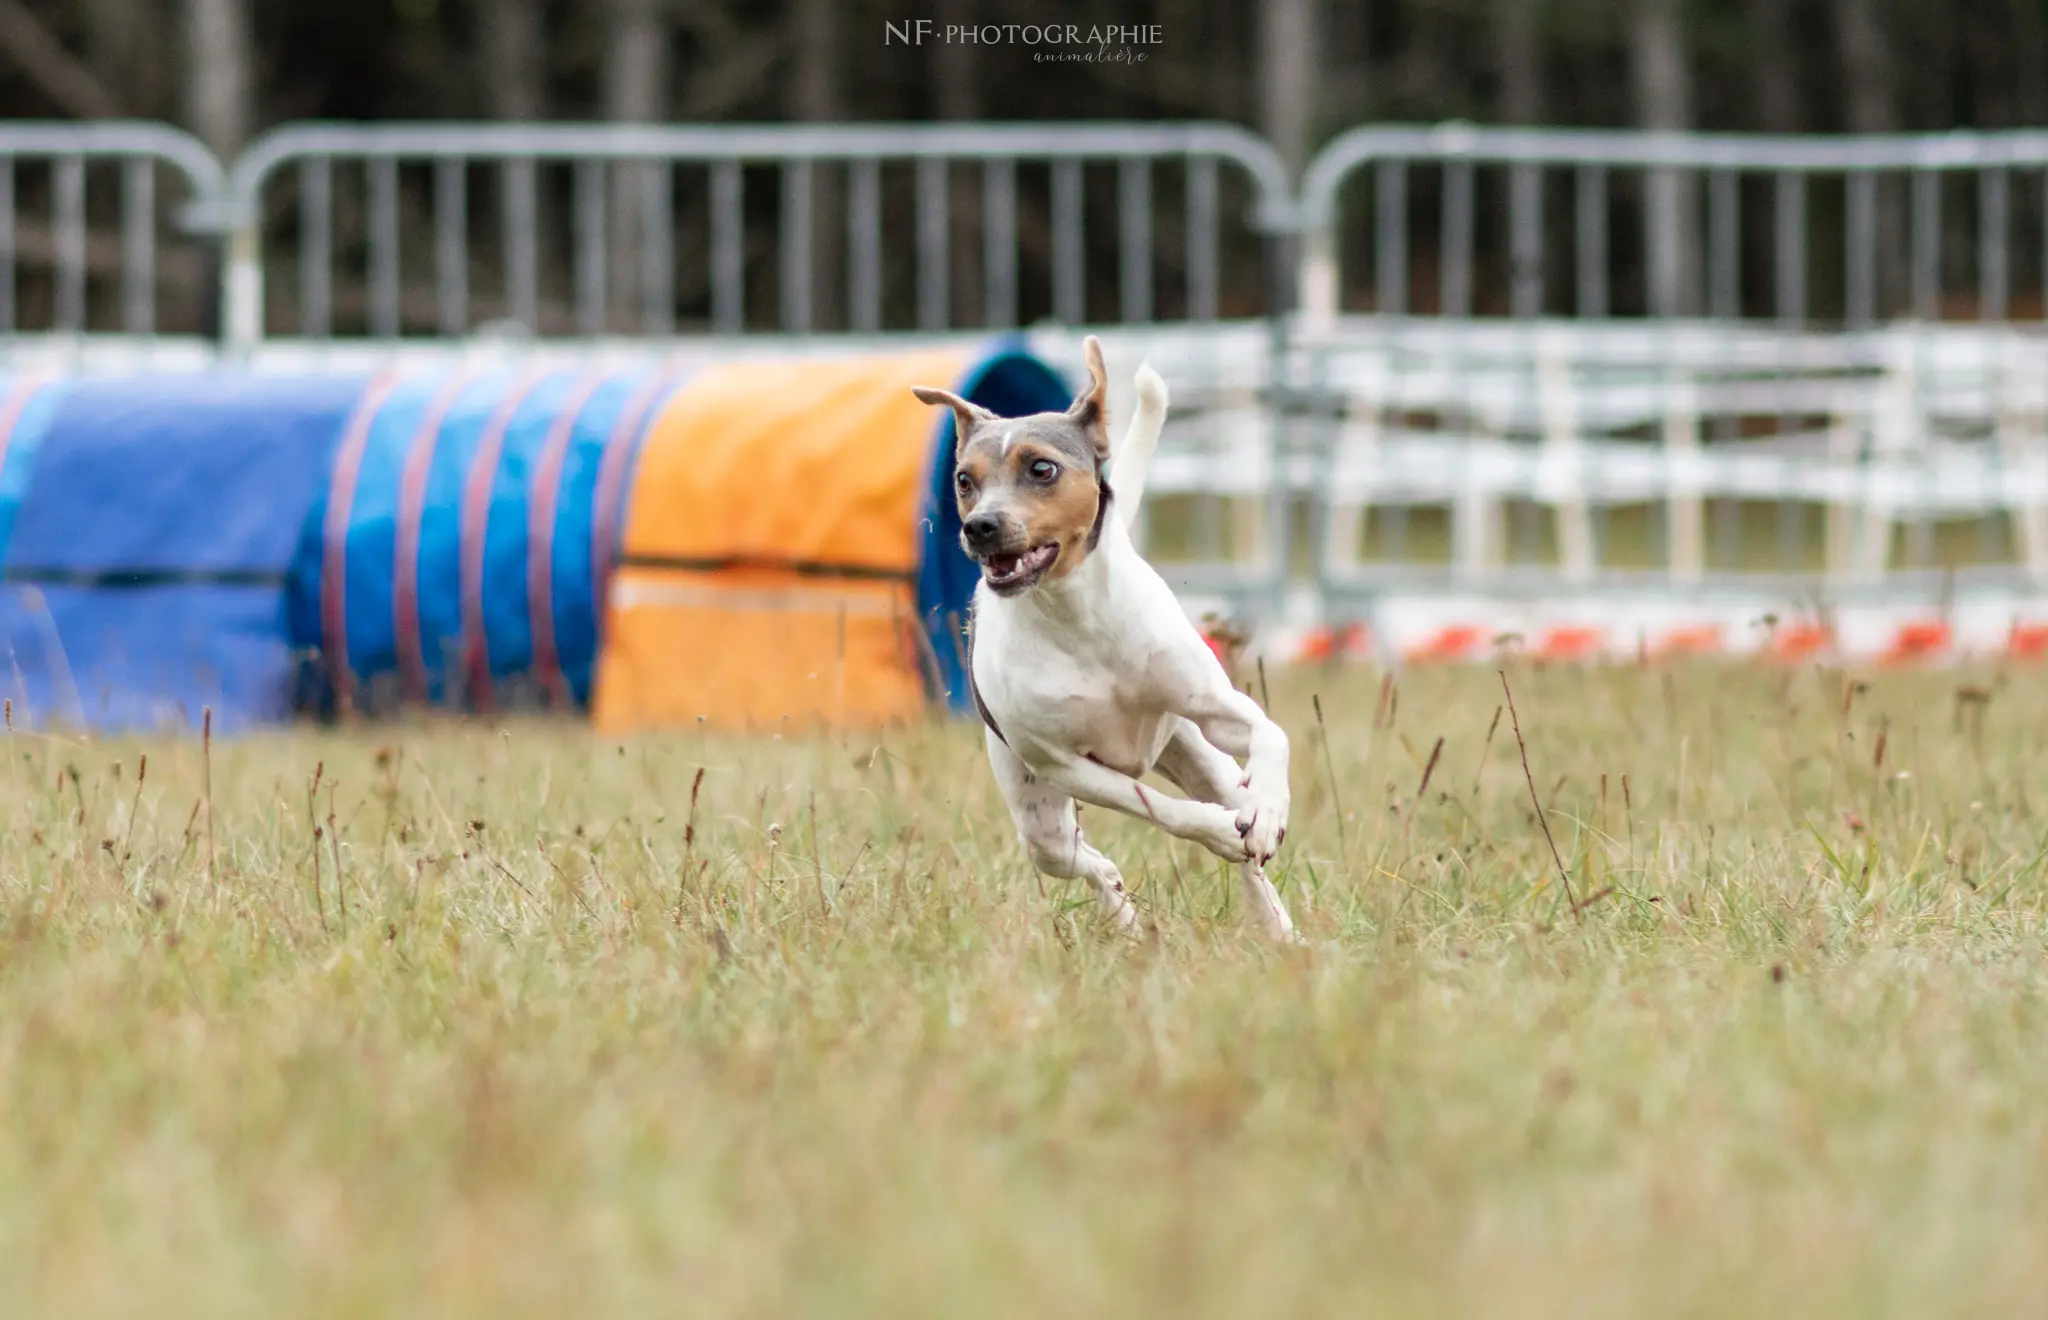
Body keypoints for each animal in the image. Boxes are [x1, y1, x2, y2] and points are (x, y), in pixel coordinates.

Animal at [913, 335, 1294, 941]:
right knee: (1088, 860)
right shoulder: (1065, 764)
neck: (1077, 616)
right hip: (1038, 821)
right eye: (964, 480)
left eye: (1041, 468)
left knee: (1238, 821)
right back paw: (1125, 916)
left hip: (1195, 752)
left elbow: (1268, 732)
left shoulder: (1213, 705)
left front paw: (1270, 811)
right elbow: (1160, 807)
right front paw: (1213, 830)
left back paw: (1276, 919)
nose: (979, 526)